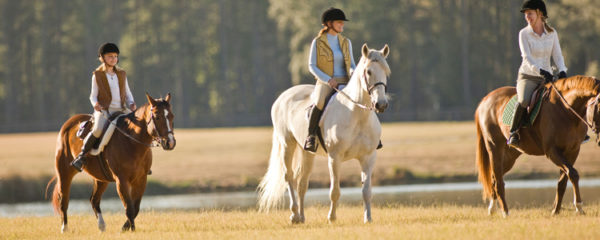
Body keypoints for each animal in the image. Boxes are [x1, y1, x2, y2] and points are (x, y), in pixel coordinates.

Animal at [47, 93, 175, 232]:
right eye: (157, 117)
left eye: (171, 116)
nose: (170, 143)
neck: (132, 143)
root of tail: (70, 122)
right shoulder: (121, 180)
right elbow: (129, 209)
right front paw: (131, 230)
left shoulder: (141, 179)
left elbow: (135, 208)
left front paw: (125, 228)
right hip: (65, 172)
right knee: (63, 200)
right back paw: (64, 228)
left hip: (101, 179)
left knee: (94, 200)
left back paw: (102, 226)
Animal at [256, 44, 390, 224]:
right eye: (368, 71)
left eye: (386, 71)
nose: (381, 104)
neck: (357, 116)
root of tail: (283, 96)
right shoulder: (334, 157)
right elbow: (335, 191)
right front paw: (332, 217)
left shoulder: (368, 158)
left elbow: (366, 191)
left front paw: (368, 218)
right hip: (287, 144)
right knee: (289, 177)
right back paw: (294, 214)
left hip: (307, 152)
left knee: (302, 183)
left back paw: (302, 217)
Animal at [476, 76, 596, 217]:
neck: (565, 110)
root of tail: (485, 100)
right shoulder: (552, 152)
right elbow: (573, 174)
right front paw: (579, 206)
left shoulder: (573, 151)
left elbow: (563, 181)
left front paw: (556, 210)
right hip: (495, 149)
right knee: (499, 182)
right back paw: (505, 212)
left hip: (510, 156)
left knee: (494, 178)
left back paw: (492, 209)